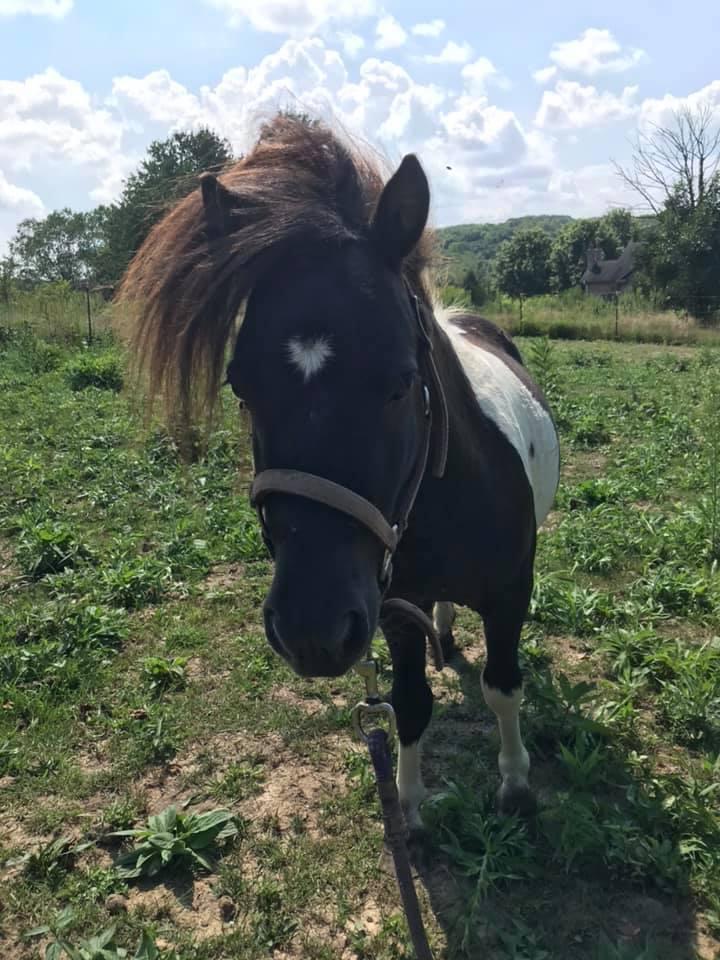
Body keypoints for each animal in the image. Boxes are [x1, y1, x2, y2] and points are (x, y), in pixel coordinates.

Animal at [117, 113, 560, 830]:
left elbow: (503, 688)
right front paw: (408, 806)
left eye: (402, 382)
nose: (311, 632)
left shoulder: (512, 589)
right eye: (242, 387)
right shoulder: (393, 609)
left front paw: (516, 783)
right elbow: (409, 704)